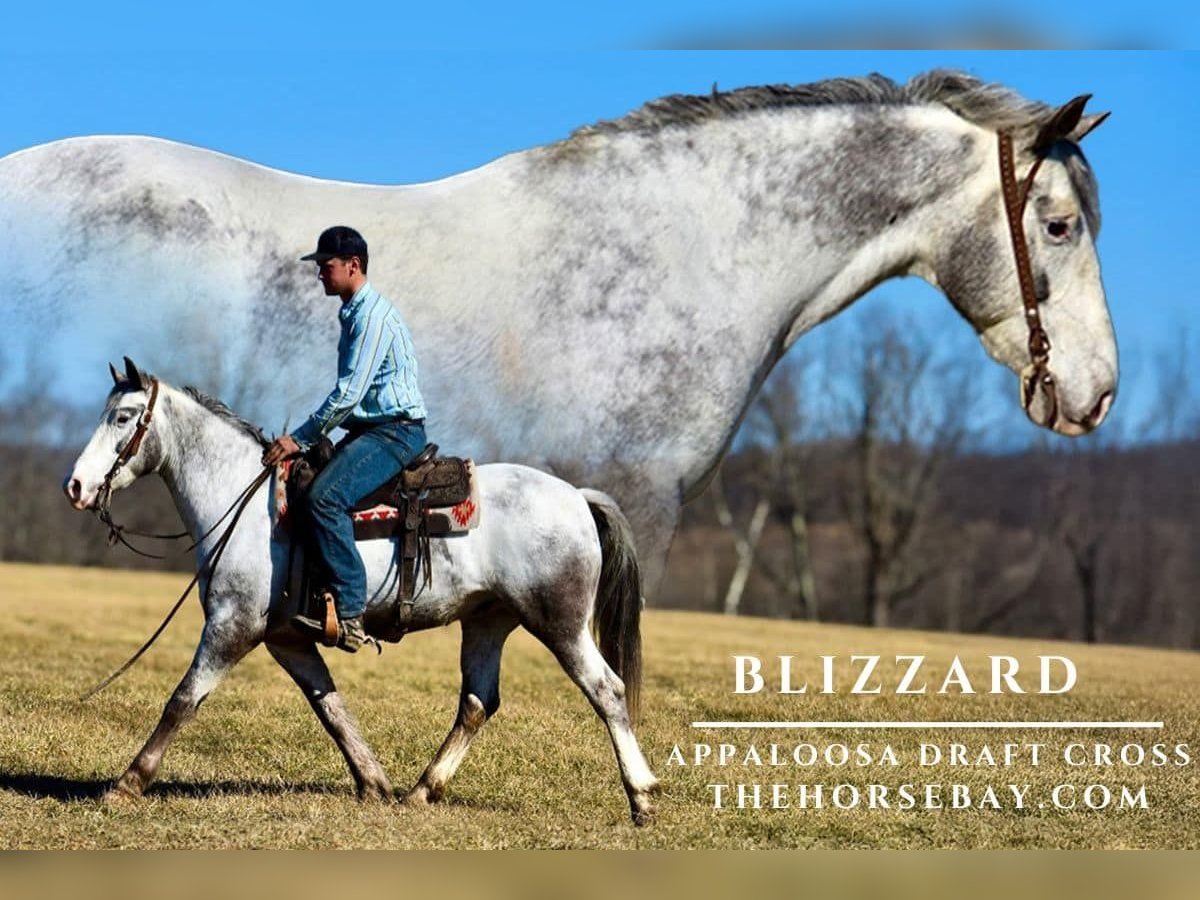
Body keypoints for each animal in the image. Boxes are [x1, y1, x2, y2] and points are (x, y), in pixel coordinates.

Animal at [65, 362, 662, 830]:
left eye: (123, 417)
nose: (75, 486)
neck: (245, 502)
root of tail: (577, 497)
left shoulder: (232, 625)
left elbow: (183, 699)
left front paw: (127, 783)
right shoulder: (287, 639)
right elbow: (330, 707)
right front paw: (374, 782)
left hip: (560, 623)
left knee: (607, 690)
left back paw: (642, 798)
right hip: (487, 621)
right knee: (477, 703)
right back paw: (422, 790)